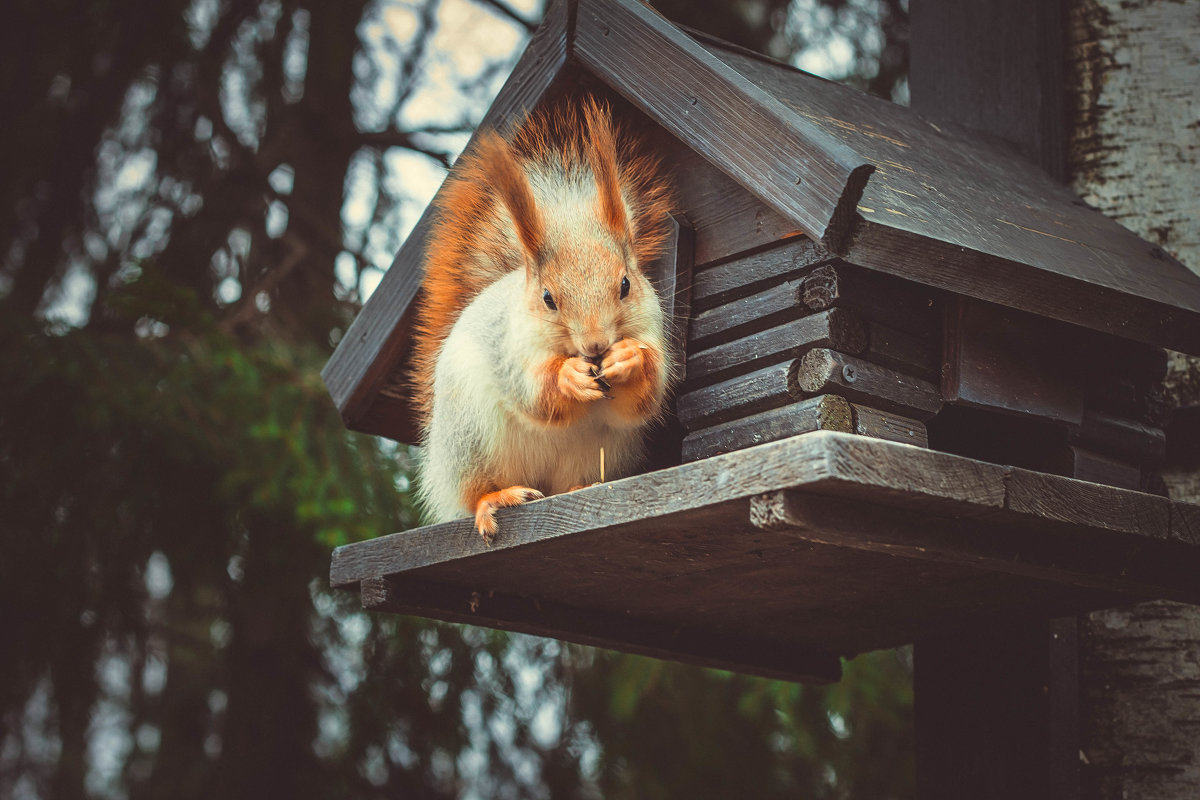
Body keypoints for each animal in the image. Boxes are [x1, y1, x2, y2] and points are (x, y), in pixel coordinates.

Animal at [410, 97, 676, 542]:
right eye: (548, 298)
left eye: (625, 284)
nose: (596, 345)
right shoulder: (510, 348)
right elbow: (534, 394)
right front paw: (568, 378)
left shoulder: (649, 327)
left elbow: (644, 399)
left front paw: (629, 360)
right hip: (468, 441)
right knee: (473, 491)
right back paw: (495, 499)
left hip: (603, 451)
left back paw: (581, 487)